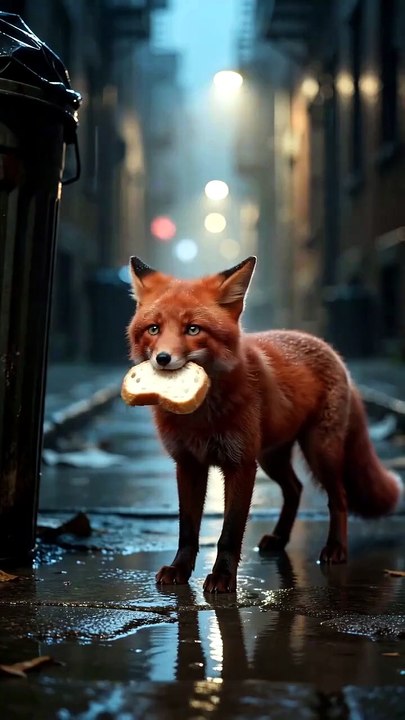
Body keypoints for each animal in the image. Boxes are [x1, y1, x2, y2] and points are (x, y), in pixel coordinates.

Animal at [127, 255, 403, 593]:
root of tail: (332, 351)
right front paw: (180, 569)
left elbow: (229, 533)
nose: (163, 359)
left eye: (193, 329)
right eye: (153, 329)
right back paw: (280, 538)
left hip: (319, 452)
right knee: (296, 489)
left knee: (339, 498)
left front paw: (223, 577)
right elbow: (188, 530)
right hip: (272, 457)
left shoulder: (241, 464)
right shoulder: (189, 464)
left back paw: (336, 548)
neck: (202, 415)